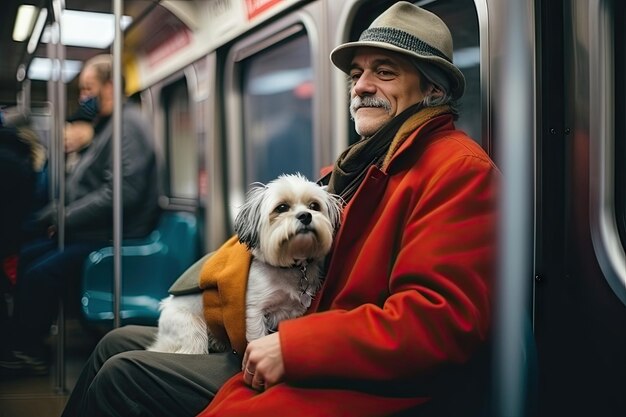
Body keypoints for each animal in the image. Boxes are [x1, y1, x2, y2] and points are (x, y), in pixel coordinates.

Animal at [147, 173, 342, 354]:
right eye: (282, 207)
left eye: (314, 206)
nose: (305, 216)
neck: (287, 267)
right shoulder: (254, 312)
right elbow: (256, 337)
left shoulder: (293, 312)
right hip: (191, 332)